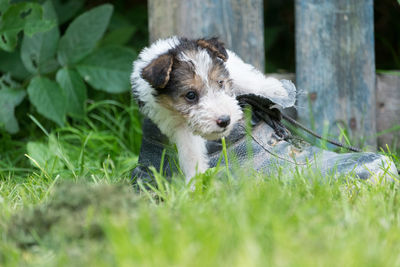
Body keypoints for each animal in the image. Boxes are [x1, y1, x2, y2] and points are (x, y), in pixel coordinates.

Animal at [132, 36, 290, 184]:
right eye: (190, 95)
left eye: (220, 83)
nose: (225, 120)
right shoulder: (176, 125)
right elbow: (190, 152)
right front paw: (195, 183)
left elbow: (245, 79)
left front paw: (275, 89)